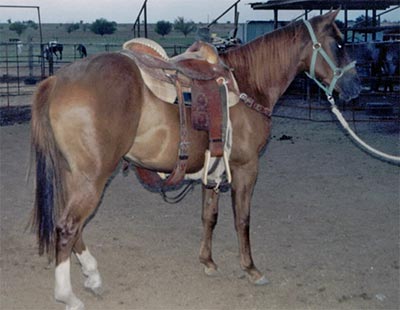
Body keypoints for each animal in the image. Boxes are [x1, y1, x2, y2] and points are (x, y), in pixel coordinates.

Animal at [30, 10, 360, 310]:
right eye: (339, 43)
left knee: (71, 225)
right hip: (93, 177)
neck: (247, 83)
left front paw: (208, 261)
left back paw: (93, 276)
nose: (357, 89)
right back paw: (68, 296)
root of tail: (57, 80)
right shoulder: (246, 167)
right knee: (68, 227)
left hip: (75, 175)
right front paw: (251, 269)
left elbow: (209, 216)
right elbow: (242, 219)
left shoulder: (212, 171)